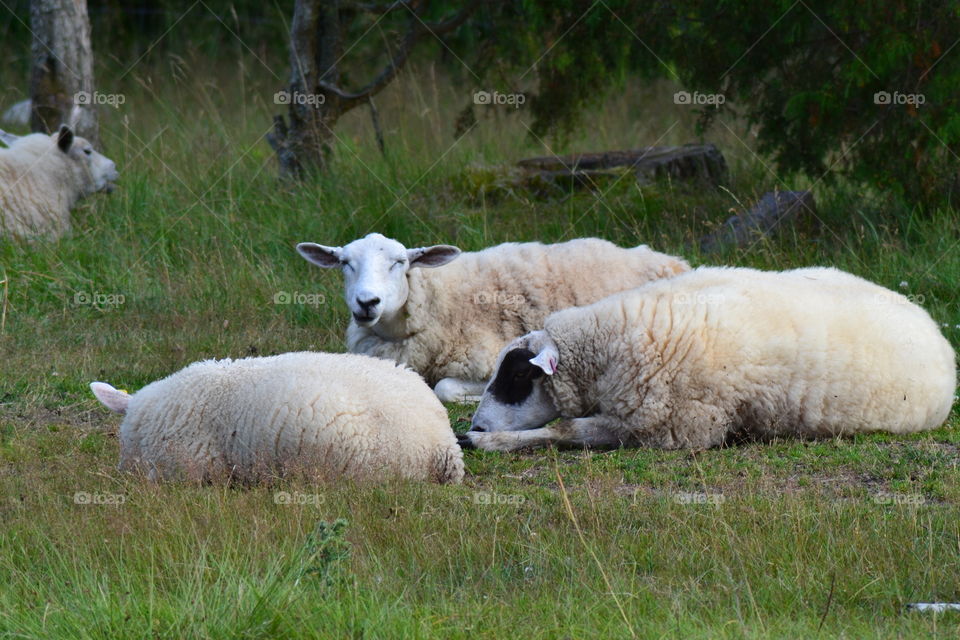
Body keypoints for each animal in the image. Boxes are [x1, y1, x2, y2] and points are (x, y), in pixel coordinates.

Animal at [296, 233, 690, 403]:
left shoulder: (489, 360)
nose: (367, 302)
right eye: (345, 263)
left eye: (400, 262)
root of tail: (672, 261)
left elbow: (444, 388)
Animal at [461, 266, 957, 451]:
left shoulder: (665, 428)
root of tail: (935, 330)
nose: (477, 425)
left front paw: (492, 443)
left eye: (517, 375)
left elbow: (564, 429)